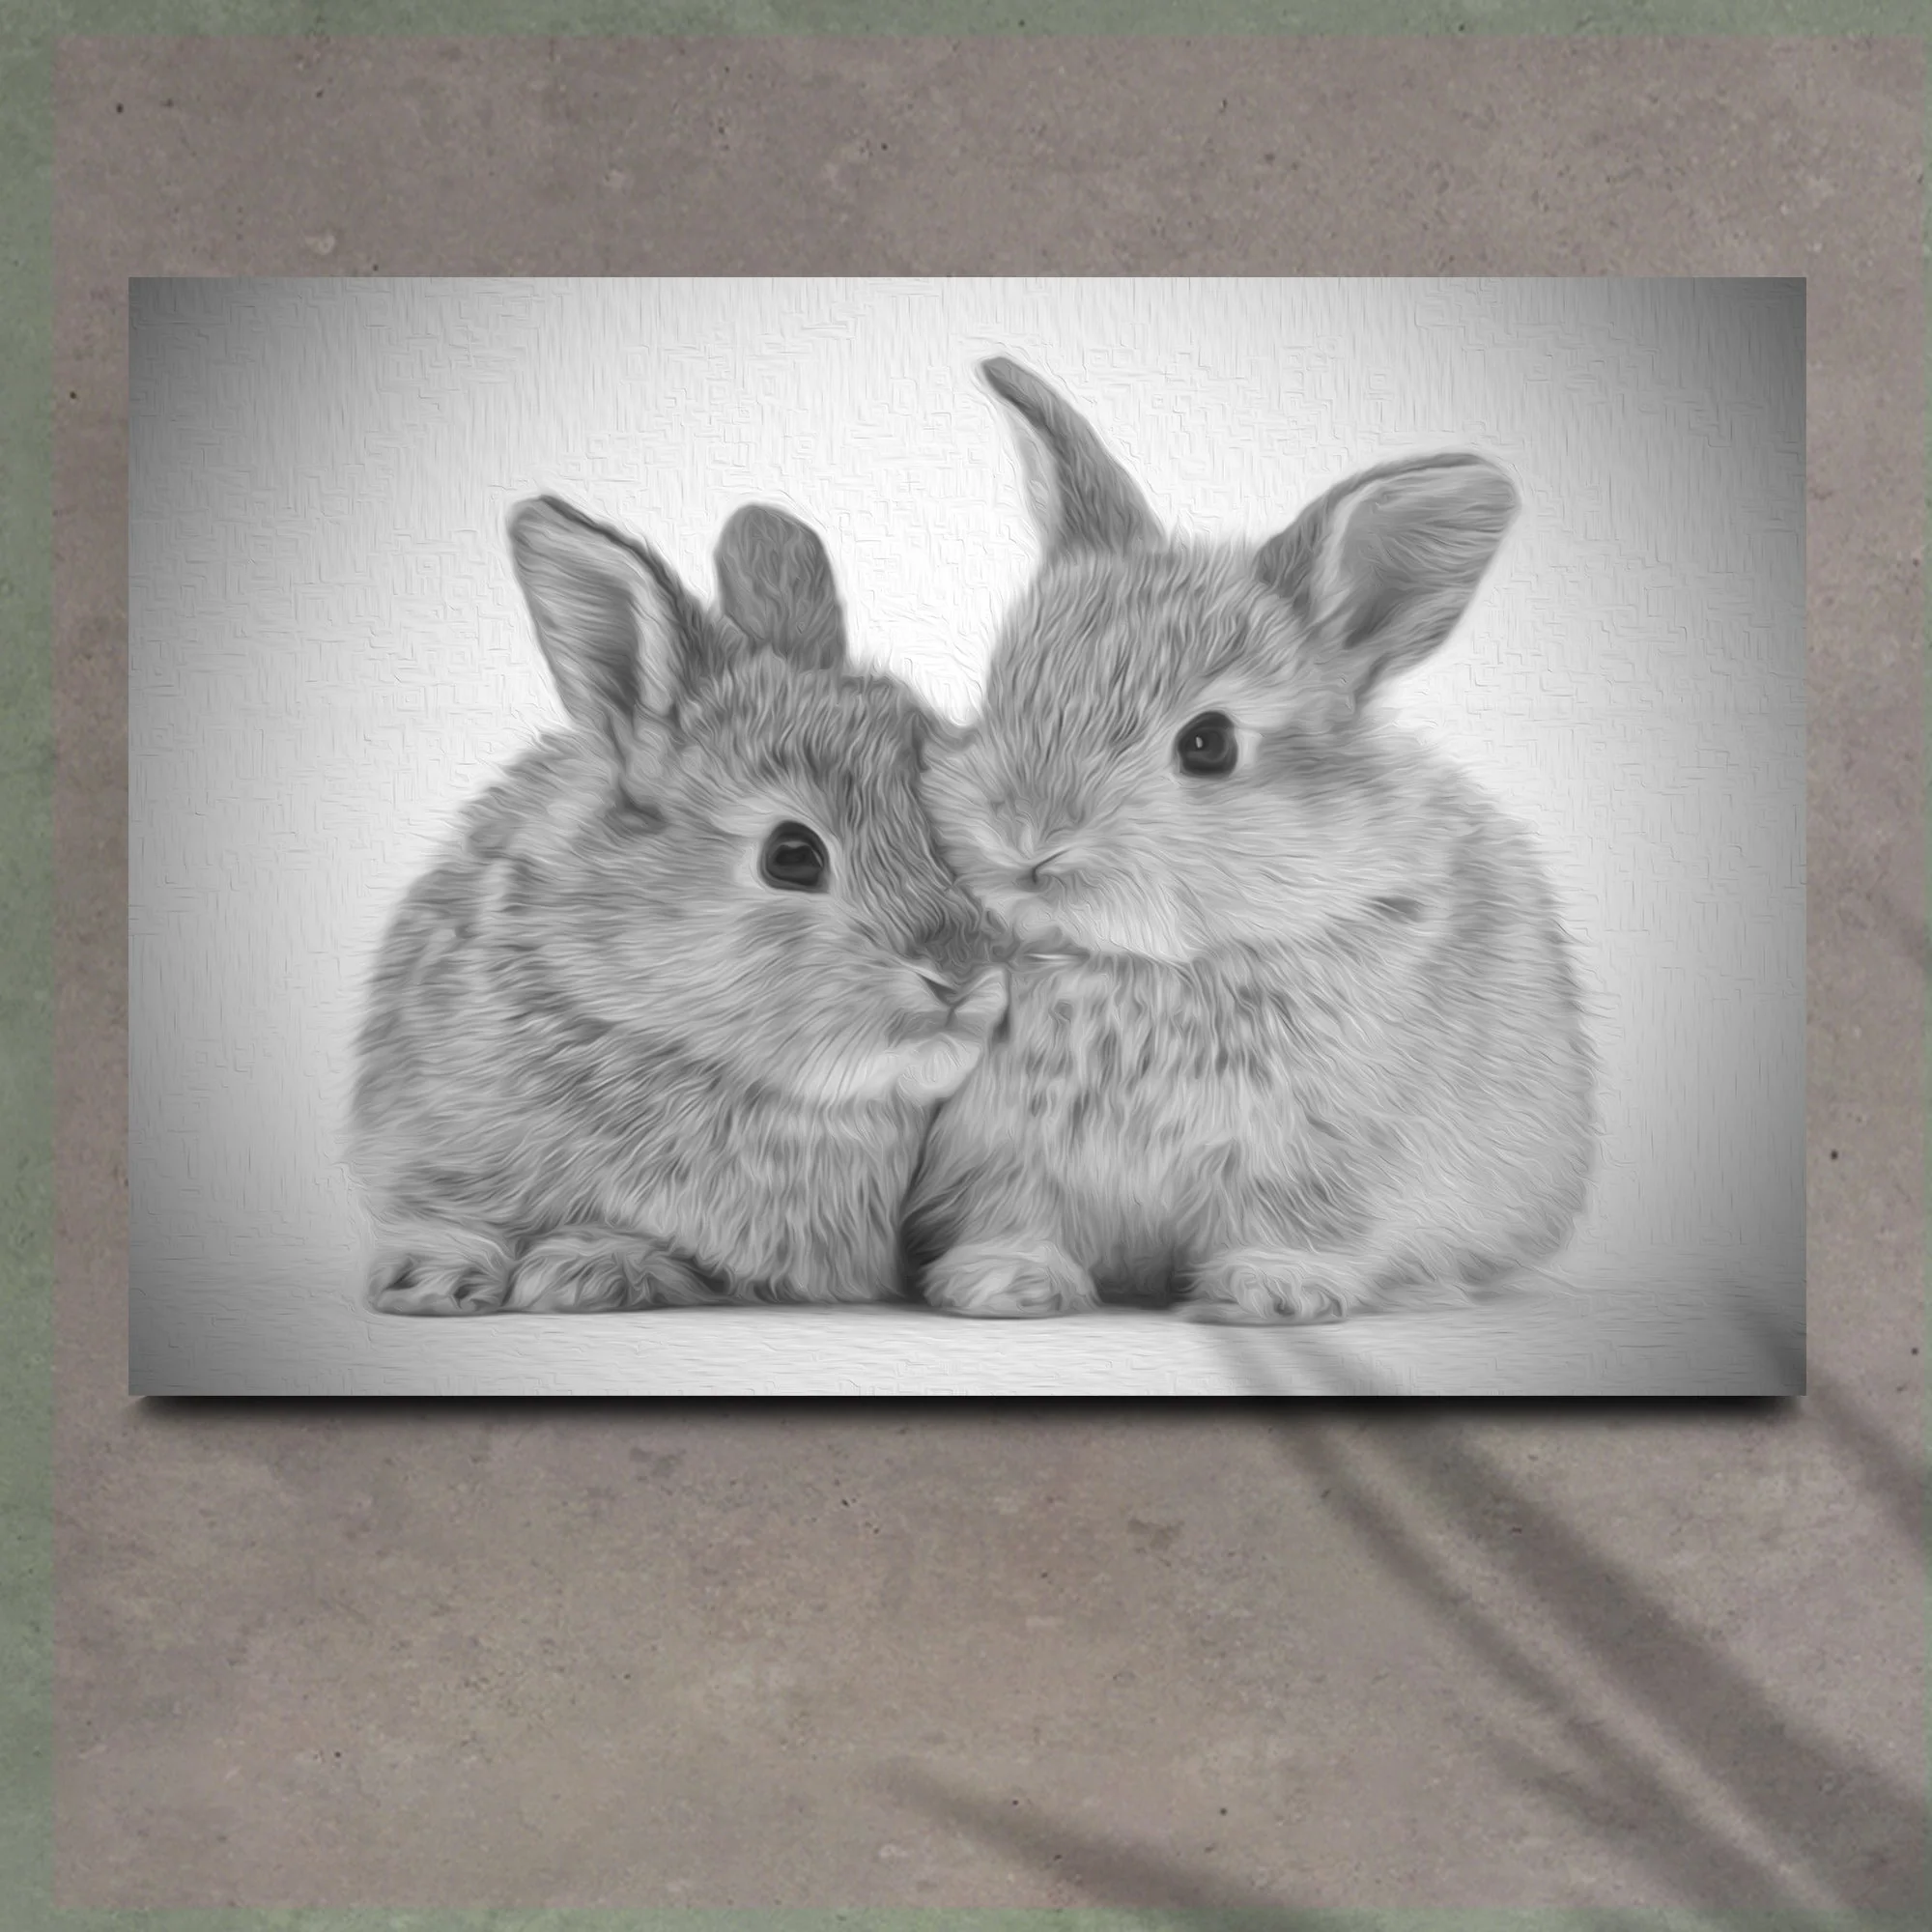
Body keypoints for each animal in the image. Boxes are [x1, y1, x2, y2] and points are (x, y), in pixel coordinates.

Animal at [347, 493, 1007, 1316]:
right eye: (792, 856)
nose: (964, 974)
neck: (664, 1038)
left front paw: (583, 1269)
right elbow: (445, 1214)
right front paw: (430, 1278)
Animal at [903, 356, 1597, 1325]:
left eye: (1210, 744)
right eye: (1003, 694)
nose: (1028, 836)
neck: (1140, 962)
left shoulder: (1320, 1152)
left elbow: (1298, 1222)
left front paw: (1277, 1291)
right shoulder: (1002, 1153)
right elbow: (1017, 1213)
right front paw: (1004, 1283)